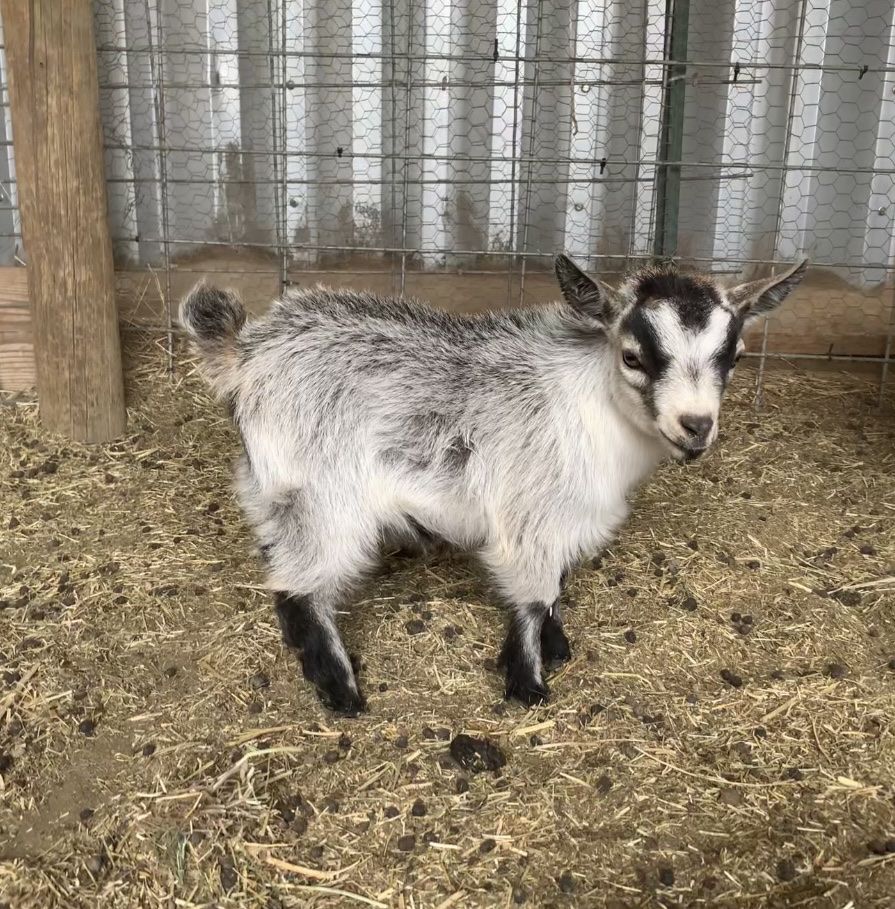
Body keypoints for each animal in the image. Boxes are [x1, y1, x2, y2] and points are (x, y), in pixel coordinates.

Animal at [180, 254, 806, 714]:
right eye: (633, 356)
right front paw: (528, 684)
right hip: (324, 496)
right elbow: (530, 595)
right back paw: (340, 689)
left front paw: (557, 645)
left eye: (734, 356)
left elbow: (554, 587)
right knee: (306, 582)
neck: (590, 403)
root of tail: (245, 353)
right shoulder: (527, 514)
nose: (695, 426)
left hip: (271, 487)